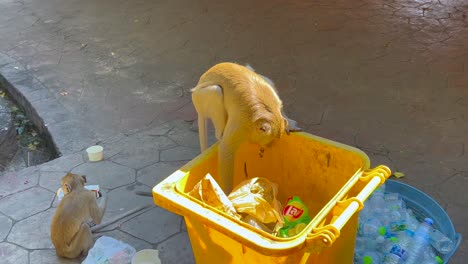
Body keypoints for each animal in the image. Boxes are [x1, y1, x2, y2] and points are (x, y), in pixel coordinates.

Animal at [192, 62, 302, 193]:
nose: (268, 146)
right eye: (270, 141)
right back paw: (220, 133)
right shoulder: (242, 121)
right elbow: (225, 149)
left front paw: (288, 123)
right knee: (216, 91)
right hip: (199, 98)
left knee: (264, 78)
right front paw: (227, 194)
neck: (267, 110)